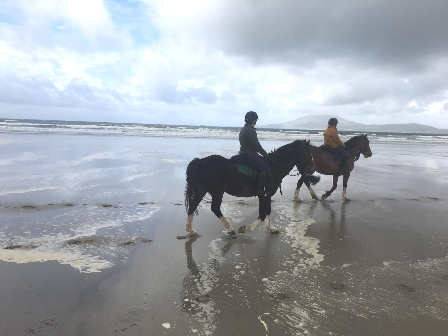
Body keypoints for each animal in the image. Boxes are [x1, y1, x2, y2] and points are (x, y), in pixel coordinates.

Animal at [185, 139, 316, 236]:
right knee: (215, 208)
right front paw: (245, 229)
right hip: (217, 191)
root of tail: (201, 161)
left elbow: (268, 212)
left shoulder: (267, 195)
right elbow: (262, 215)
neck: (274, 167)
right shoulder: (264, 196)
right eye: (307, 153)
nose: (311, 169)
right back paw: (230, 229)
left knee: (192, 205)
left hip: (201, 190)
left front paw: (271, 228)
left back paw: (191, 230)